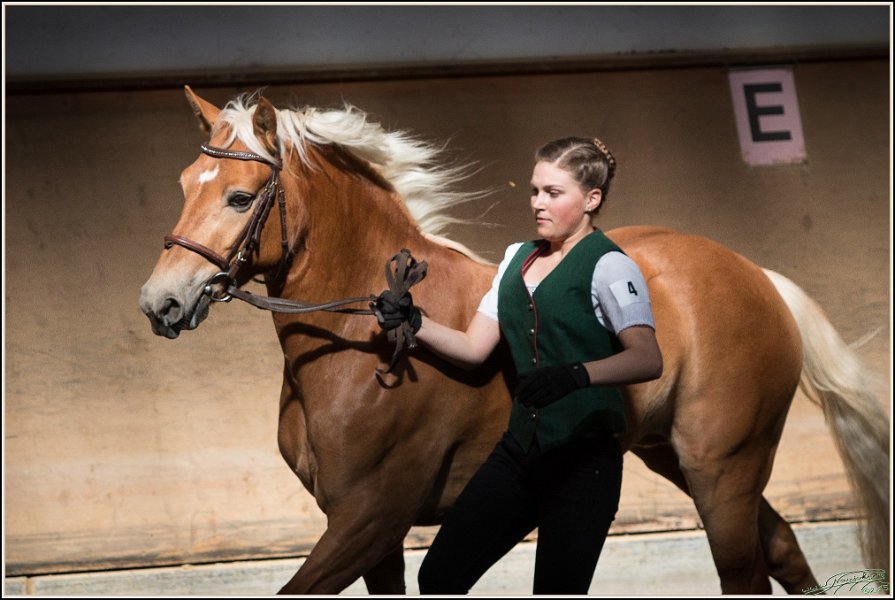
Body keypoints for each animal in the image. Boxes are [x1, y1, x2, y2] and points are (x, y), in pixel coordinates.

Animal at [139, 87, 889, 595]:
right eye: (184, 184)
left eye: (240, 198)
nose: (159, 302)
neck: (354, 343)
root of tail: (755, 274)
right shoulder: (369, 532)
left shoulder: (368, 518)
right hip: (675, 456)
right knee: (782, 546)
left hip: (722, 467)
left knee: (746, 570)